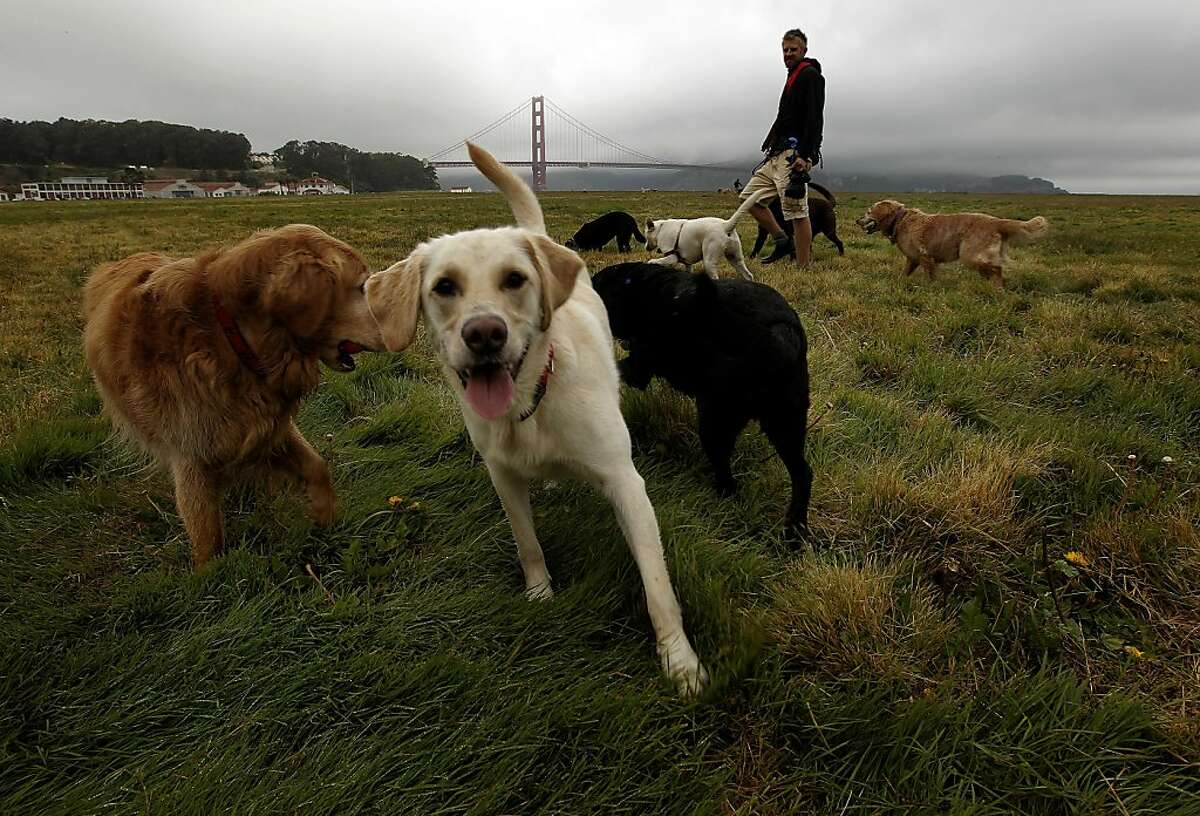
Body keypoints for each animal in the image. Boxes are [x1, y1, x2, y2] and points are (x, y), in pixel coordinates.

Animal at [83, 224, 379, 566]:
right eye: (361, 286)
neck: (234, 337)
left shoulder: (268, 424)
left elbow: (317, 466)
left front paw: (327, 519)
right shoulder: (191, 454)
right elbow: (207, 535)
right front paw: (210, 574)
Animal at [360, 141, 705, 696]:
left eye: (515, 280)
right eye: (444, 287)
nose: (484, 334)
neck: (530, 403)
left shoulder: (625, 482)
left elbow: (657, 584)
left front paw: (681, 662)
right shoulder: (502, 477)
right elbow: (527, 544)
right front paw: (540, 594)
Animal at [592, 261, 816, 537]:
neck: (647, 290)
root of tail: (782, 334)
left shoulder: (639, 366)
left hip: (716, 419)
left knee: (727, 473)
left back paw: (723, 496)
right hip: (785, 424)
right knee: (803, 474)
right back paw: (795, 528)